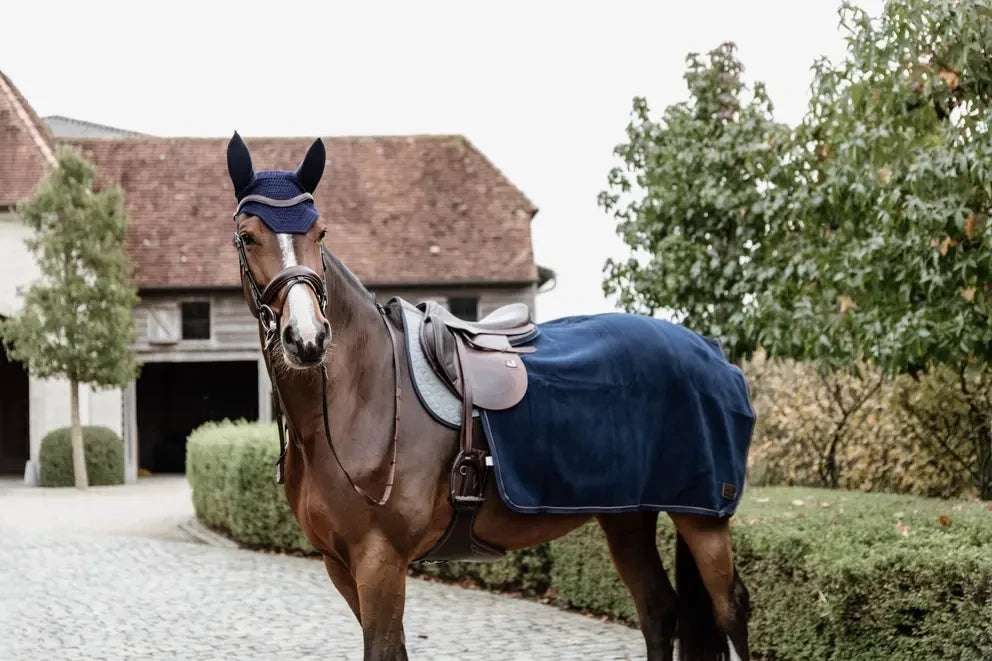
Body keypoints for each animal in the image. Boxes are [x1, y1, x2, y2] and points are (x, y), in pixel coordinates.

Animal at [224, 132, 753, 661]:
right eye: (247, 237)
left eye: (320, 233)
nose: (307, 339)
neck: (358, 399)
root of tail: (713, 351)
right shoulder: (341, 565)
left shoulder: (380, 561)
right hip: (628, 517)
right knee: (658, 609)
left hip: (702, 518)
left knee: (731, 609)